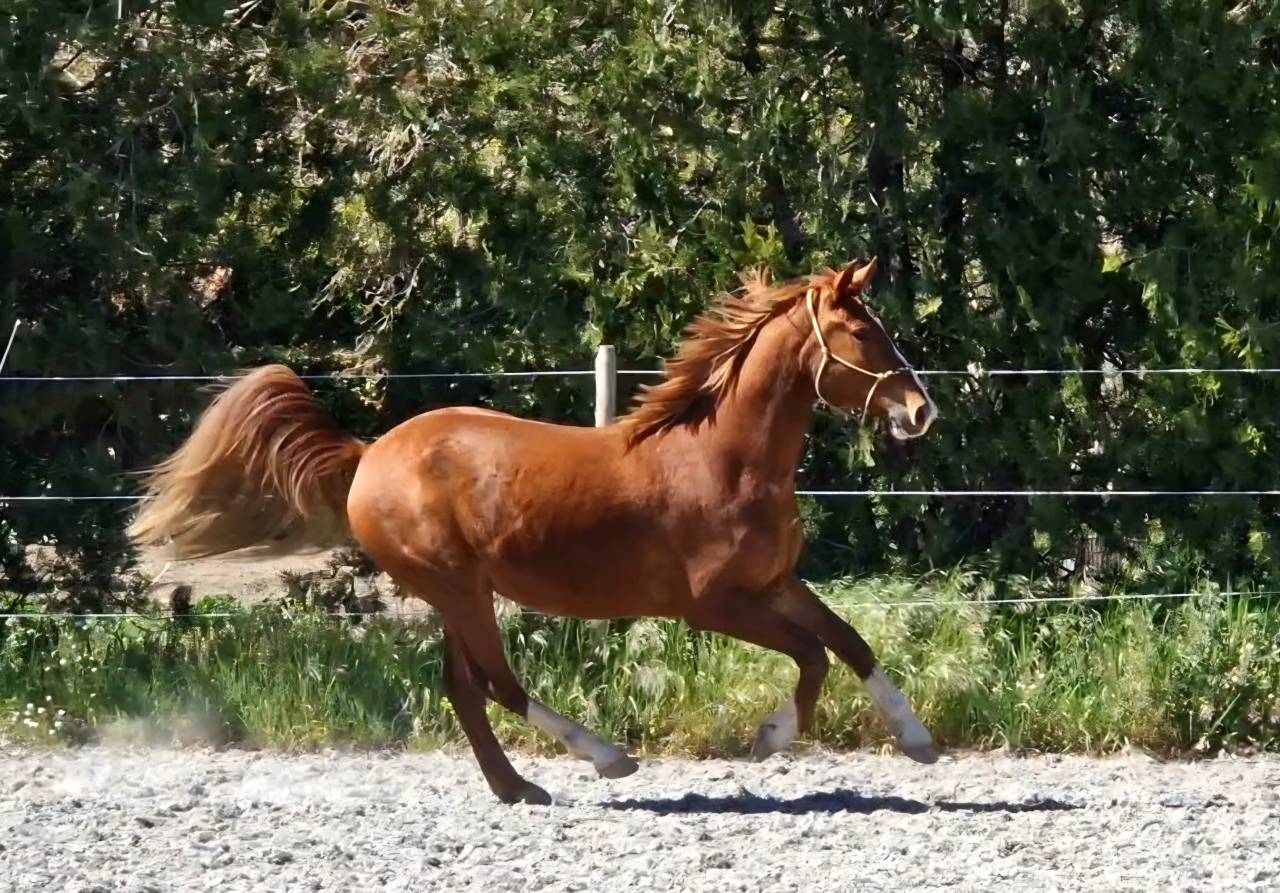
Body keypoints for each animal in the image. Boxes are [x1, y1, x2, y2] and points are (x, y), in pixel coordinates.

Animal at [127, 256, 940, 805]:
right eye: (861, 330)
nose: (920, 410)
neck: (722, 457)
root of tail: (367, 454)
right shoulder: (711, 604)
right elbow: (813, 657)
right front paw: (772, 739)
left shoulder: (774, 582)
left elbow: (849, 643)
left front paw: (918, 740)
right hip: (458, 587)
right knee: (496, 681)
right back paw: (606, 757)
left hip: (456, 594)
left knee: (462, 685)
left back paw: (517, 787)